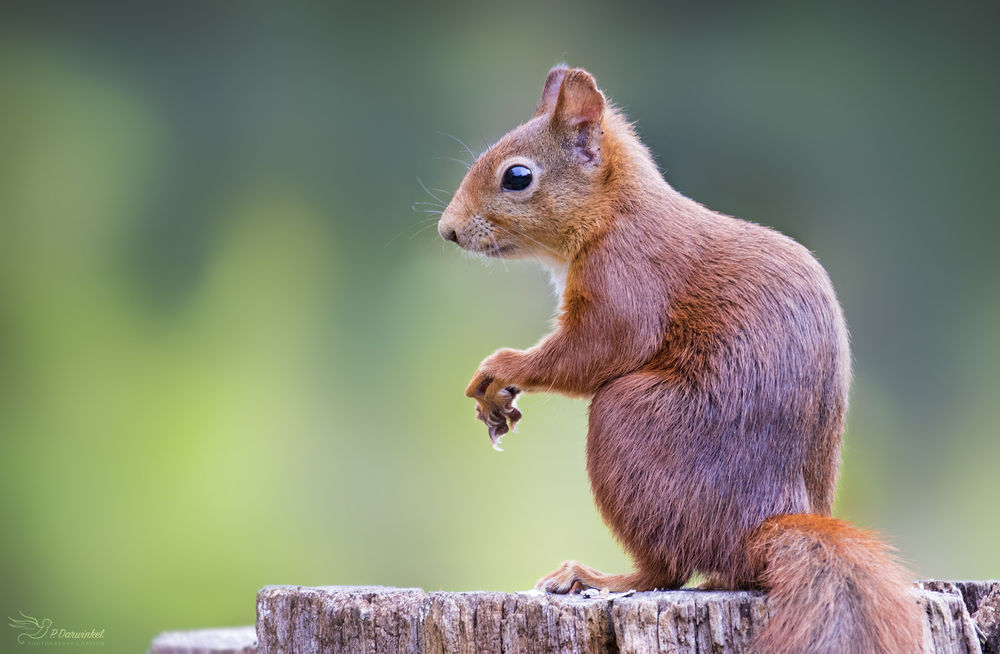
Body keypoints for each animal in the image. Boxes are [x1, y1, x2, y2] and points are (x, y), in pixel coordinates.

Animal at [436, 65, 925, 653]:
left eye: (516, 177)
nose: (447, 230)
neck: (615, 213)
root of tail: (765, 522)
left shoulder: (627, 276)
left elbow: (597, 351)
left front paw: (501, 369)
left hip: (628, 423)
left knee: (665, 569)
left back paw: (598, 578)